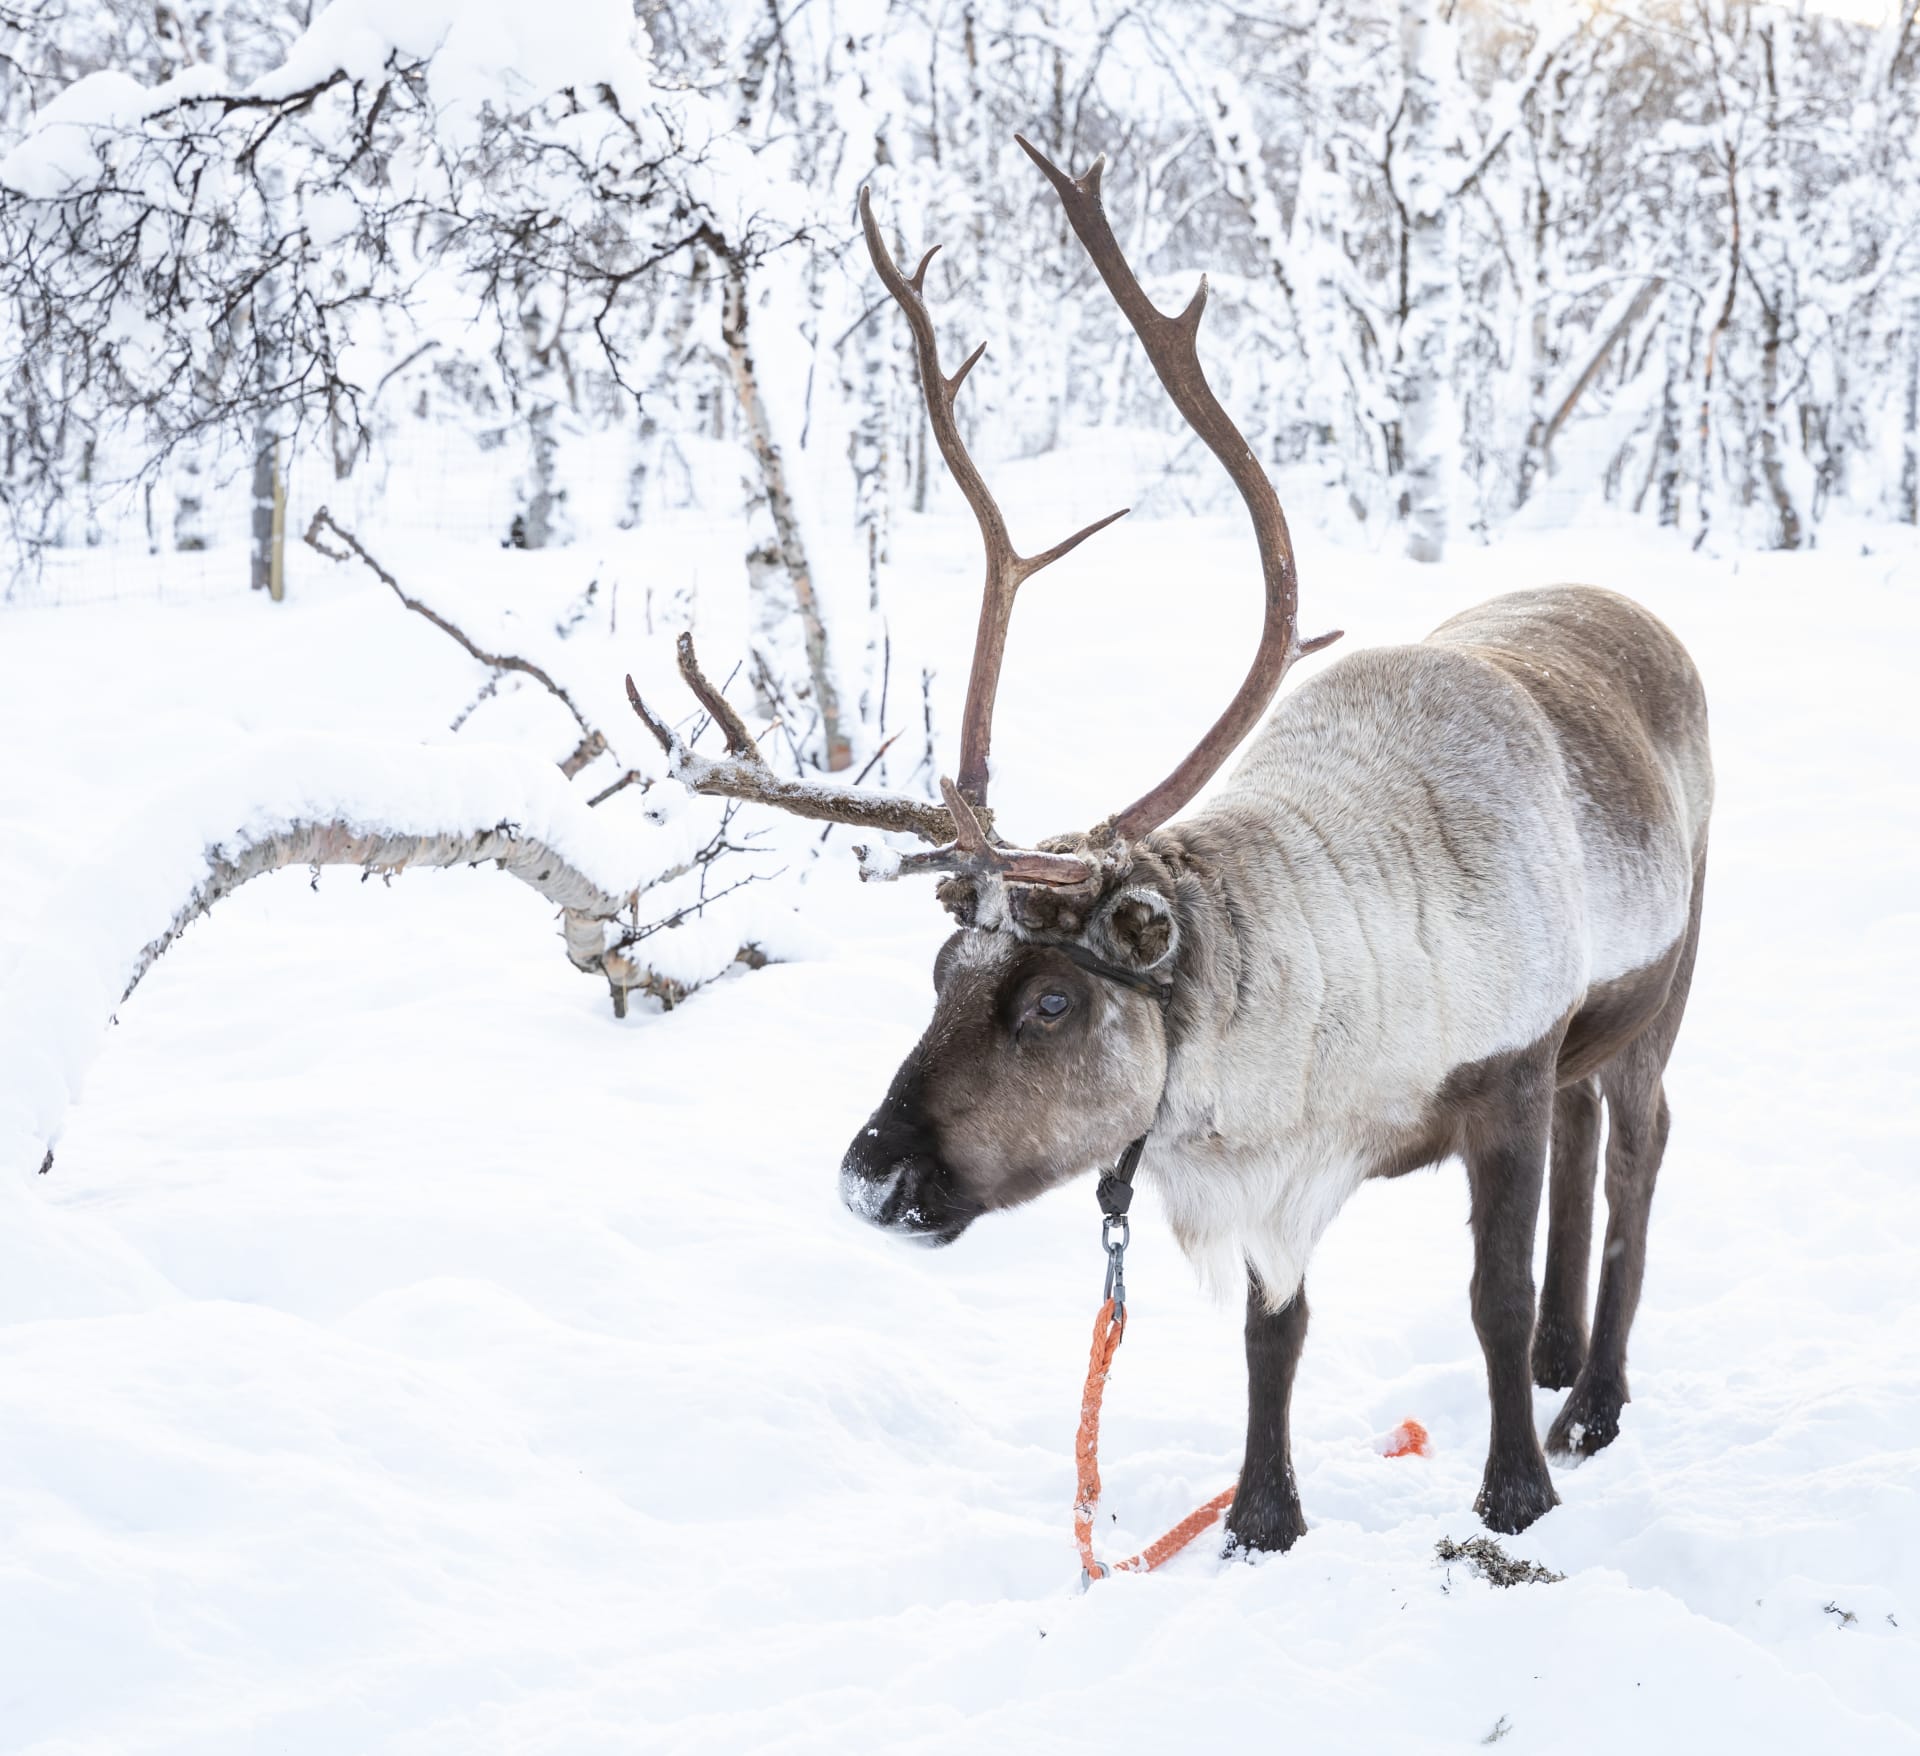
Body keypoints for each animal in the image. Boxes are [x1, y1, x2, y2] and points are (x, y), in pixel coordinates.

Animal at [627, 137, 1713, 1551]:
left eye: (1049, 999)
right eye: (942, 972)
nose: (872, 1176)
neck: (1335, 1019)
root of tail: (1631, 606)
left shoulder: (1510, 1073)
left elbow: (1492, 1293)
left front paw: (1514, 1496)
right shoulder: (1276, 1175)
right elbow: (1274, 1329)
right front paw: (1260, 1518)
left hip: (1663, 991)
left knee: (1635, 1152)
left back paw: (1591, 1401)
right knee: (1595, 1145)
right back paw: (1562, 1372)